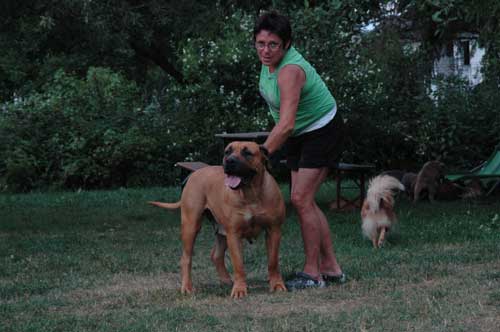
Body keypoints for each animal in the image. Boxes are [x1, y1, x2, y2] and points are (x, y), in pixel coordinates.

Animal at [149, 141, 286, 296]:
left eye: (247, 153)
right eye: (227, 151)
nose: (229, 161)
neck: (251, 194)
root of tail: (196, 172)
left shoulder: (274, 230)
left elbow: (273, 261)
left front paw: (277, 284)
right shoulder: (234, 234)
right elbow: (238, 264)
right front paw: (239, 289)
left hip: (221, 230)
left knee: (216, 255)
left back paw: (226, 280)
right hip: (191, 226)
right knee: (186, 258)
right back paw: (187, 287)